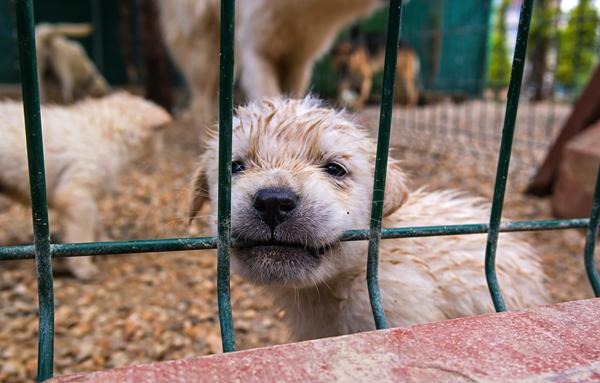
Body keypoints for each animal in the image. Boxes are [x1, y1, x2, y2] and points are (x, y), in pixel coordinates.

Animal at [1, 93, 172, 280]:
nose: (162, 149)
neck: (106, 132)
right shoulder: (75, 195)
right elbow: (81, 232)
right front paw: (83, 268)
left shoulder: (86, 198)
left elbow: (95, 222)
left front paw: (104, 243)